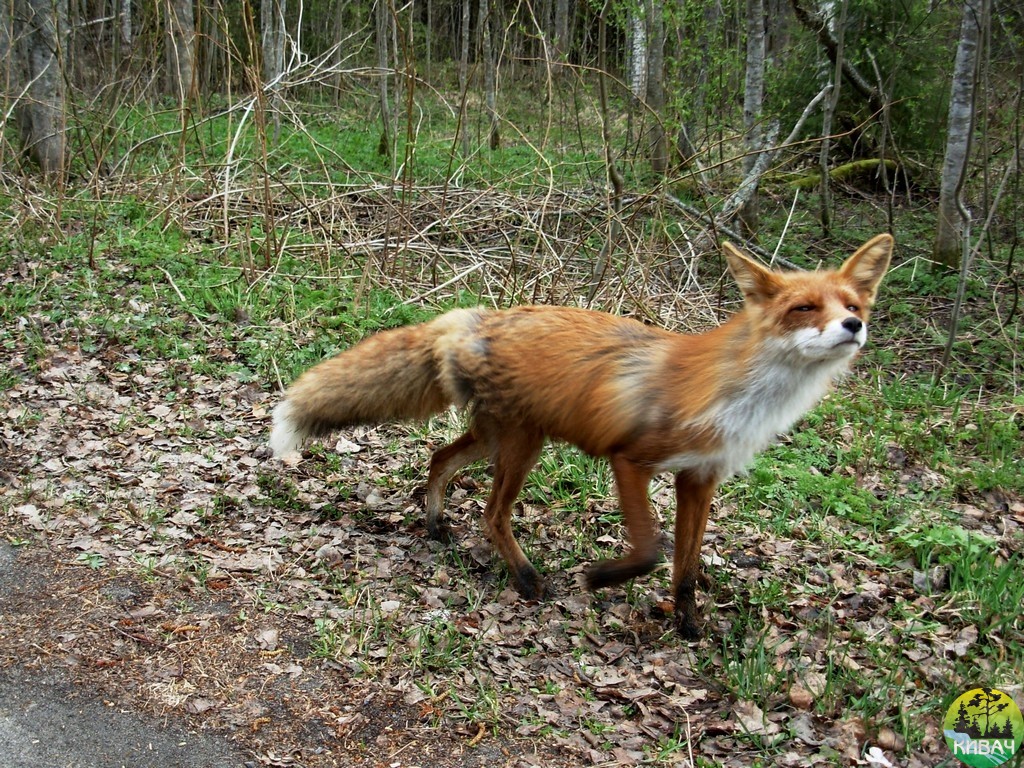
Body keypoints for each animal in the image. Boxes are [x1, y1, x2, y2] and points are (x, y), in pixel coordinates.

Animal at [268, 233, 892, 638]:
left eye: (852, 304)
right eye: (804, 307)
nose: (853, 325)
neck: (740, 398)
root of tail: (473, 317)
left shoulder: (699, 478)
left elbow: (686, 567)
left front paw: (687, 624)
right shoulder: (631, 460)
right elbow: (650, 549)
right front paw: (601, 577)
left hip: (497, 439)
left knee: (438, 459)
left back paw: (436, 524)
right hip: (523, 446)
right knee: (491, 514)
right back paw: (526, 579)